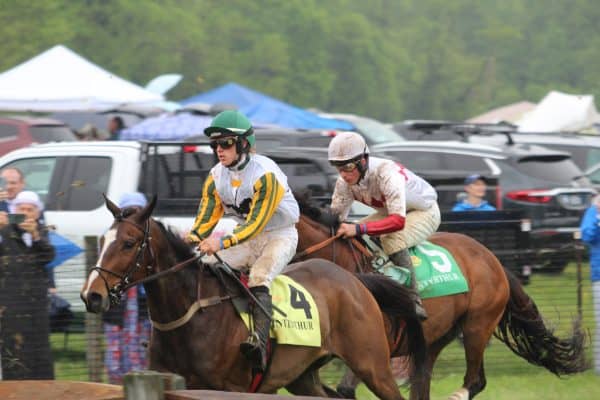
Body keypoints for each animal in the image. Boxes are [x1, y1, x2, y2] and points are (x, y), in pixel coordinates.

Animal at [79, 198, 426, 400]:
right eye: (104, 240)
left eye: (128, 243)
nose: (91, 295)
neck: (192, 314)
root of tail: (354, 280)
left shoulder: (229, 389)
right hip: (303, 375)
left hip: (373, 365)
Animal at [294, 198, 584, 400]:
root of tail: (493, 259)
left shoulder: (373, 345)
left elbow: (345, 388)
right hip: (435, 337)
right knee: (423, 384)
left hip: (478, 325)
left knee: (475, 381)